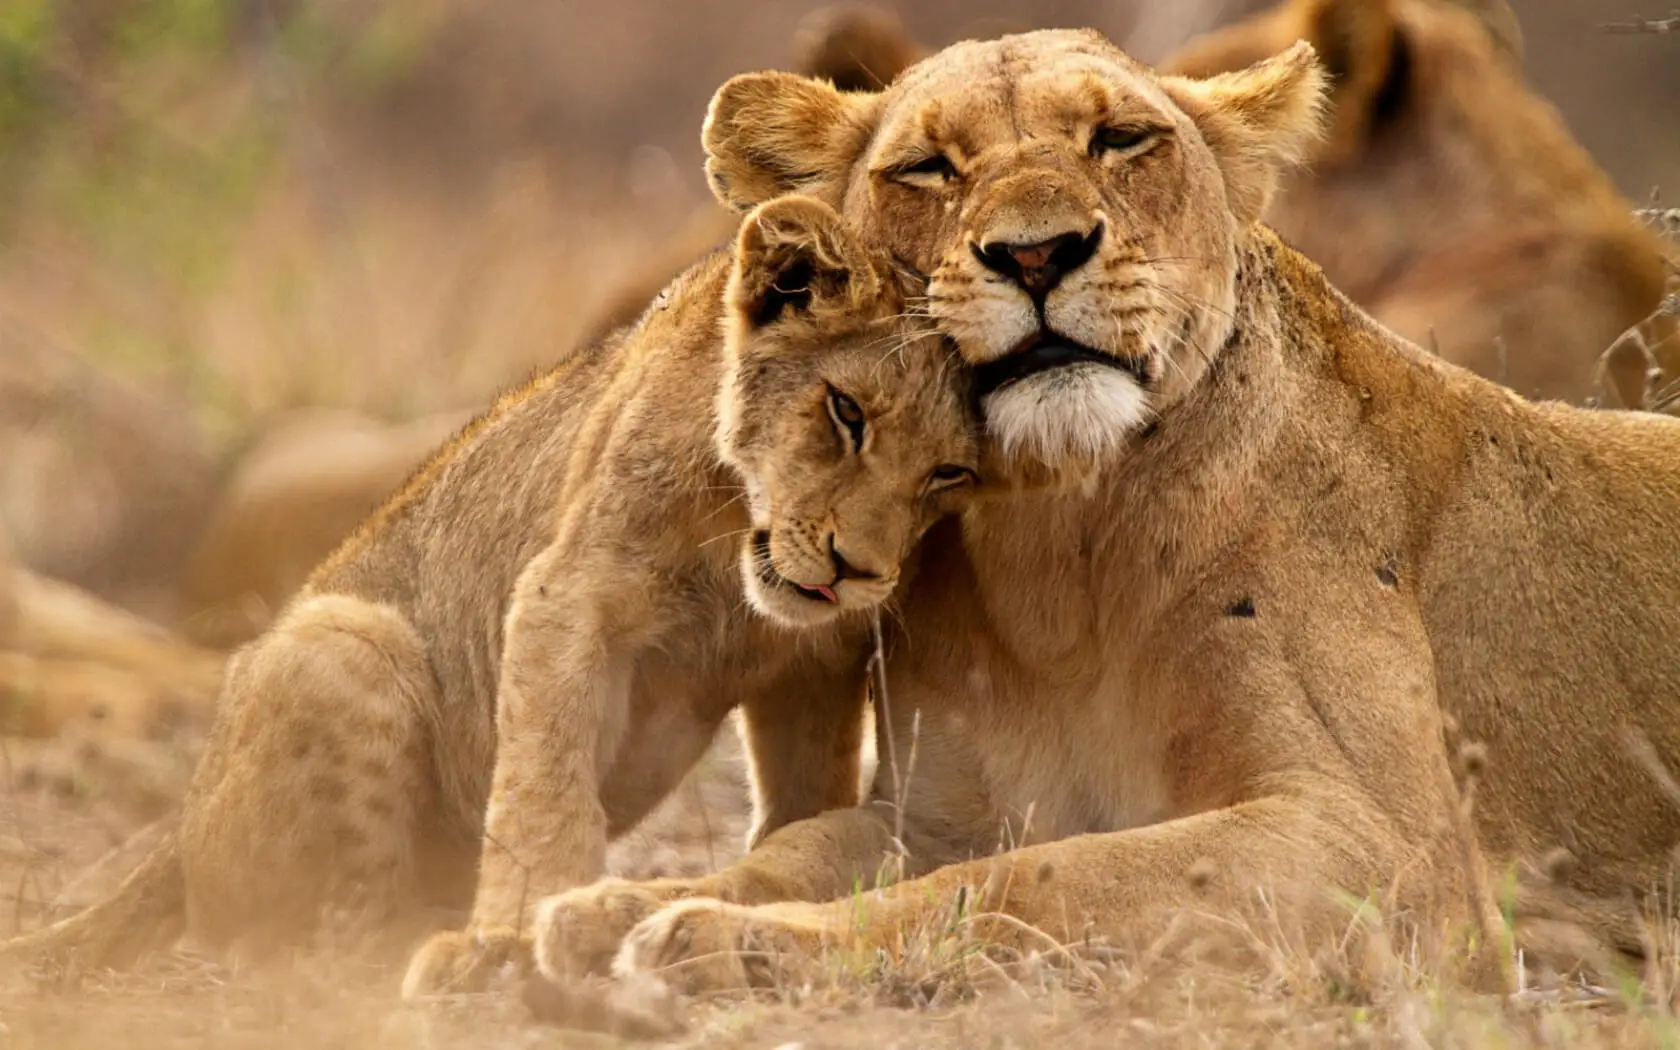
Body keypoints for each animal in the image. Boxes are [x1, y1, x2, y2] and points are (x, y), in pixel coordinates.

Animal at [0, 194, 980, 992]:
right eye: (846, 412)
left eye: (950, 473)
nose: (858, 571)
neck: (735, 550)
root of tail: (178, 829)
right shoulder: (566, 596)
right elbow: (546, 789)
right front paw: (513, 937)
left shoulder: (815, 661)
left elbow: (804, 797)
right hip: (342, 640)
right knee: (315, 948)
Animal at [522, 29, 1680, 996]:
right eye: (930, 167)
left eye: (1121, 139)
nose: (1037, 253)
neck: (1056, 550)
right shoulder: (939, 813)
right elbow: (794, 850)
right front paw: (622, 906)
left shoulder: (1392, 852)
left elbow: (1037, 879)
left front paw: (722, 940)